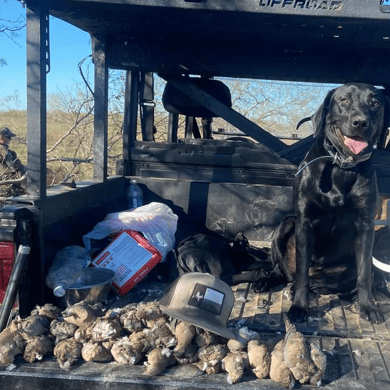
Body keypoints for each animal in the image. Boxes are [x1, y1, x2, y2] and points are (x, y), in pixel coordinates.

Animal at [254, 84, 388, 324]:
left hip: (344, 270)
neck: (342, 167)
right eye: (343, 100)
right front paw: (299, 307)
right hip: (286, 225)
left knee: (322, 281)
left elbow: (364, 274)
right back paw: (269, 280)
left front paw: (368, 306)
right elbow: (302, 271)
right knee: (286, 272)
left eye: (375, 103)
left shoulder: (366, 226)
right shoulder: (305, 222)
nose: (360, 122)